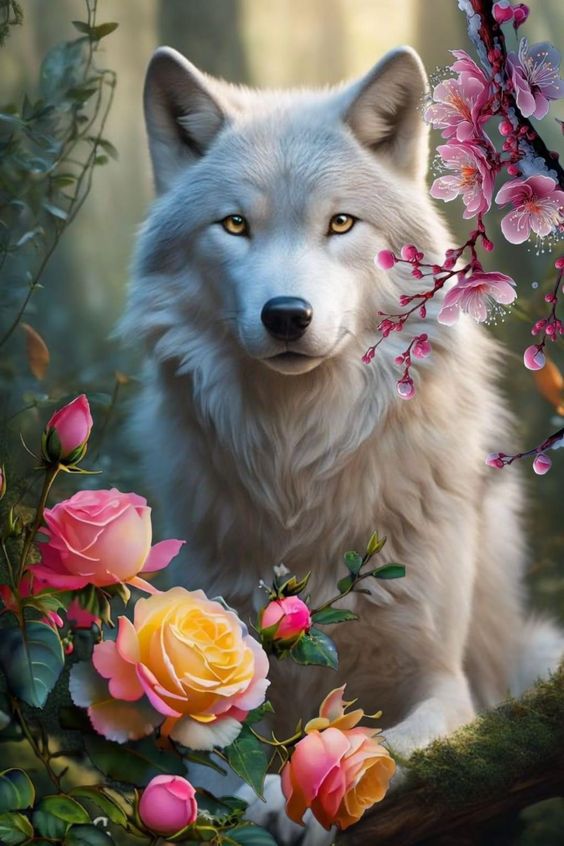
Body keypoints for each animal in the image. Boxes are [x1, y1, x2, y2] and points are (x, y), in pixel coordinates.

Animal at [122, 45, 563, 843]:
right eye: (235, 225)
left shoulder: (444, 685)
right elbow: (211, 765)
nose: (286, 315)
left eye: (341, 223)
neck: (301, 461)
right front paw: (263, 797)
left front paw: (310, 793)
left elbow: (380, 743)